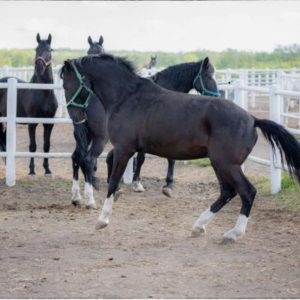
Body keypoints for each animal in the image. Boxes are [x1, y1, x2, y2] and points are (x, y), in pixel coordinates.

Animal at [60, 54, 300, 241]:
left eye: (67, 83)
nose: (76, 115)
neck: (127, 97)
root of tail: (252, 119)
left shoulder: (124, 149)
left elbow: (113, 182)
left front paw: (102, 220)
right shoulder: (127, 149)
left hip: (226, 164)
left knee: (247, 192)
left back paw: (233, 233)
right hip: (219, 164)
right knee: (228, 192)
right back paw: (199, 226)